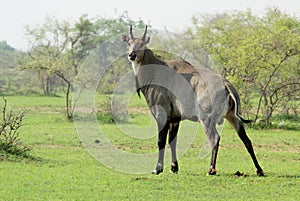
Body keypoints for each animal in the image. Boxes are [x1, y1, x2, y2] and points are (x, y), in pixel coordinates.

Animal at [120, 25, 264, 176]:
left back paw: (211, 170)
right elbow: (172, 141)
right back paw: (259, 170)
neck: (155, 71)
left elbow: (161, 141)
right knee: (246, 140)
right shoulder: (175, 119)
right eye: (129, 43)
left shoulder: (162, 115)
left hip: (206, 120)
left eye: (142, 44)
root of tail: (226, 85)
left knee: (215, 138)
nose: (132, 55)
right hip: (232, 117)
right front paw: (174, 168)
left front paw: (157, 169)